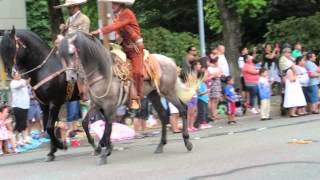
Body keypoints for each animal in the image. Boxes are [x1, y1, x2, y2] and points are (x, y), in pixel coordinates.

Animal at [59, 32, 195, 165]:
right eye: (61, 55)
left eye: (71, 53)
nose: (70, 77)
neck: (102, 73)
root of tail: (170, 61)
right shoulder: (96, 104)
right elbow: (85, 122)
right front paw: (98, 147)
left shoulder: (109, 106)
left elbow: (108, 128)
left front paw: (104, 152)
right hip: (154, 95)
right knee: (163, 116)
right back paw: (161, 145)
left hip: (168, 92)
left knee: (183, 109)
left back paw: (187, 142)